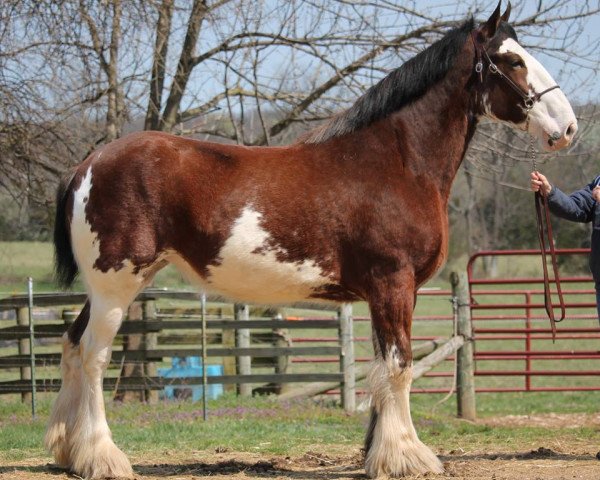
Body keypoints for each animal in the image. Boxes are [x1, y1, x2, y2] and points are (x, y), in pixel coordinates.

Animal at [45, 1, 576, 478]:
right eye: (512, 60)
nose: (568, 126)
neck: (398, 162)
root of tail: (87, 166)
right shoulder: (394, 283)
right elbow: (400, 367)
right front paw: (408, 457)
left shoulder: (383, 293)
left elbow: (381, 369)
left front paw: (379, 454)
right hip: (116, 286)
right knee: (93, 357)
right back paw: (103, 459)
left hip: (107, 288)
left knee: (70, 345)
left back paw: (69, 453)